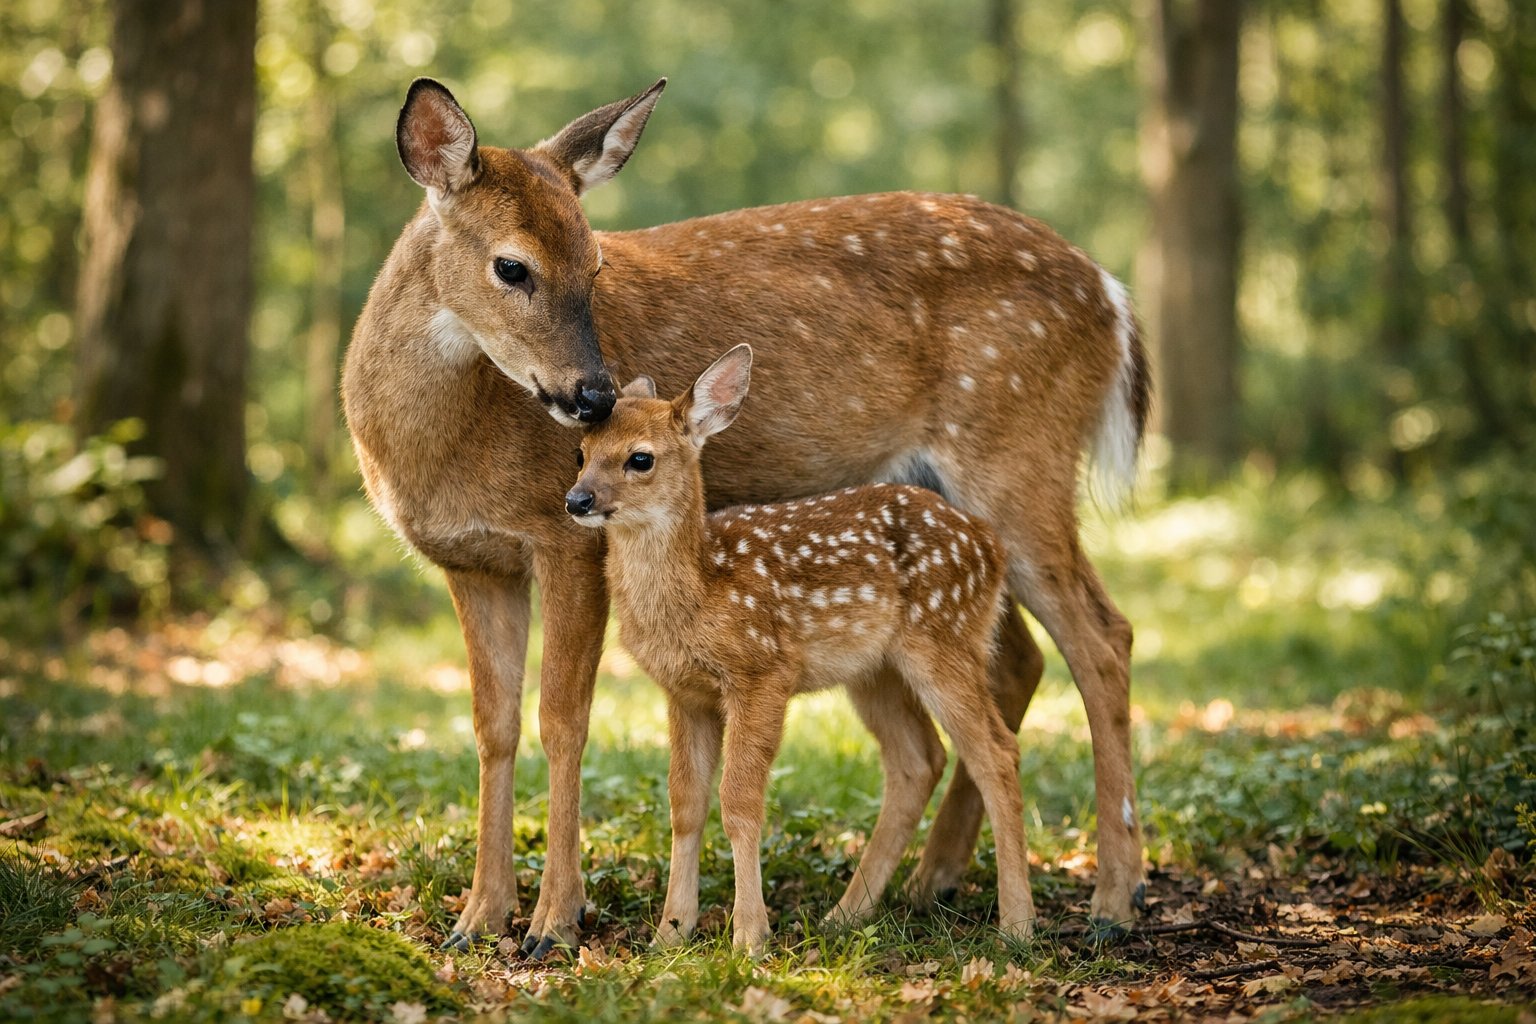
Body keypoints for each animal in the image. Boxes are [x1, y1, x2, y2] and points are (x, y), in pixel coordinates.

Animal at [566, 344, 1035, 952]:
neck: (702, 589)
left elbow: (740, 801)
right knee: (918, 761)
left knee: (996, 754)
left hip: (947, 638)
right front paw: (670, 933)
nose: (577, 499)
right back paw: (845, 915)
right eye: (580, 452)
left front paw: (748, 937)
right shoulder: (684, 691)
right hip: (875, 670)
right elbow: (685, 804)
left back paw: (1017, 926)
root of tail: (993, 548)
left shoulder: (763, 669)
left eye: (640, 459)